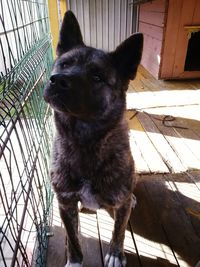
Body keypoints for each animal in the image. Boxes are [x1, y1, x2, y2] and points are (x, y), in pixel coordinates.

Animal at [44, 10, 143, 267]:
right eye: (64, 64)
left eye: (97, 77)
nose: (58, 80)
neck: (84, 142)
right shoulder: (65, 203)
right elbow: (72, 237)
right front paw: (74, 260)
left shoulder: (121, 204)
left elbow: (119, 232)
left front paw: (116, 254)